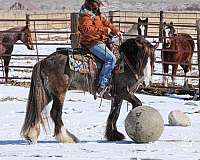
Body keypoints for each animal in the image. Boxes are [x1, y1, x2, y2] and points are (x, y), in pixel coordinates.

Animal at [20, 36, 158, 144]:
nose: (146, 81)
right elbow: (137, 103)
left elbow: (114, 113)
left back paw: (31, 135)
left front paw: (113, 135)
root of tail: (43, 61)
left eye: (153, 59)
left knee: (38, 108)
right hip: (59, 93)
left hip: (48, 93)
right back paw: (67, 138)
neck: (124, 64)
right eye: (141, 58)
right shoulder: (123, 92)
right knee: (55, 113)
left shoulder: (117, 96)